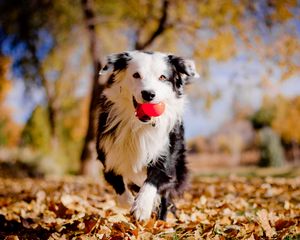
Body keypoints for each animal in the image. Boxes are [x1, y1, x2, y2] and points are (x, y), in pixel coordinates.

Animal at [96, 51, 199, 221]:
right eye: (136, 75)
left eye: (162, 77)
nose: (149, 94)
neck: (140, 125)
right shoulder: (108, 156)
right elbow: (119, 187)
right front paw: (130, 201)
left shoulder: (165, 158)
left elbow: (152, 181)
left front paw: (142, 207)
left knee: (165, 198)